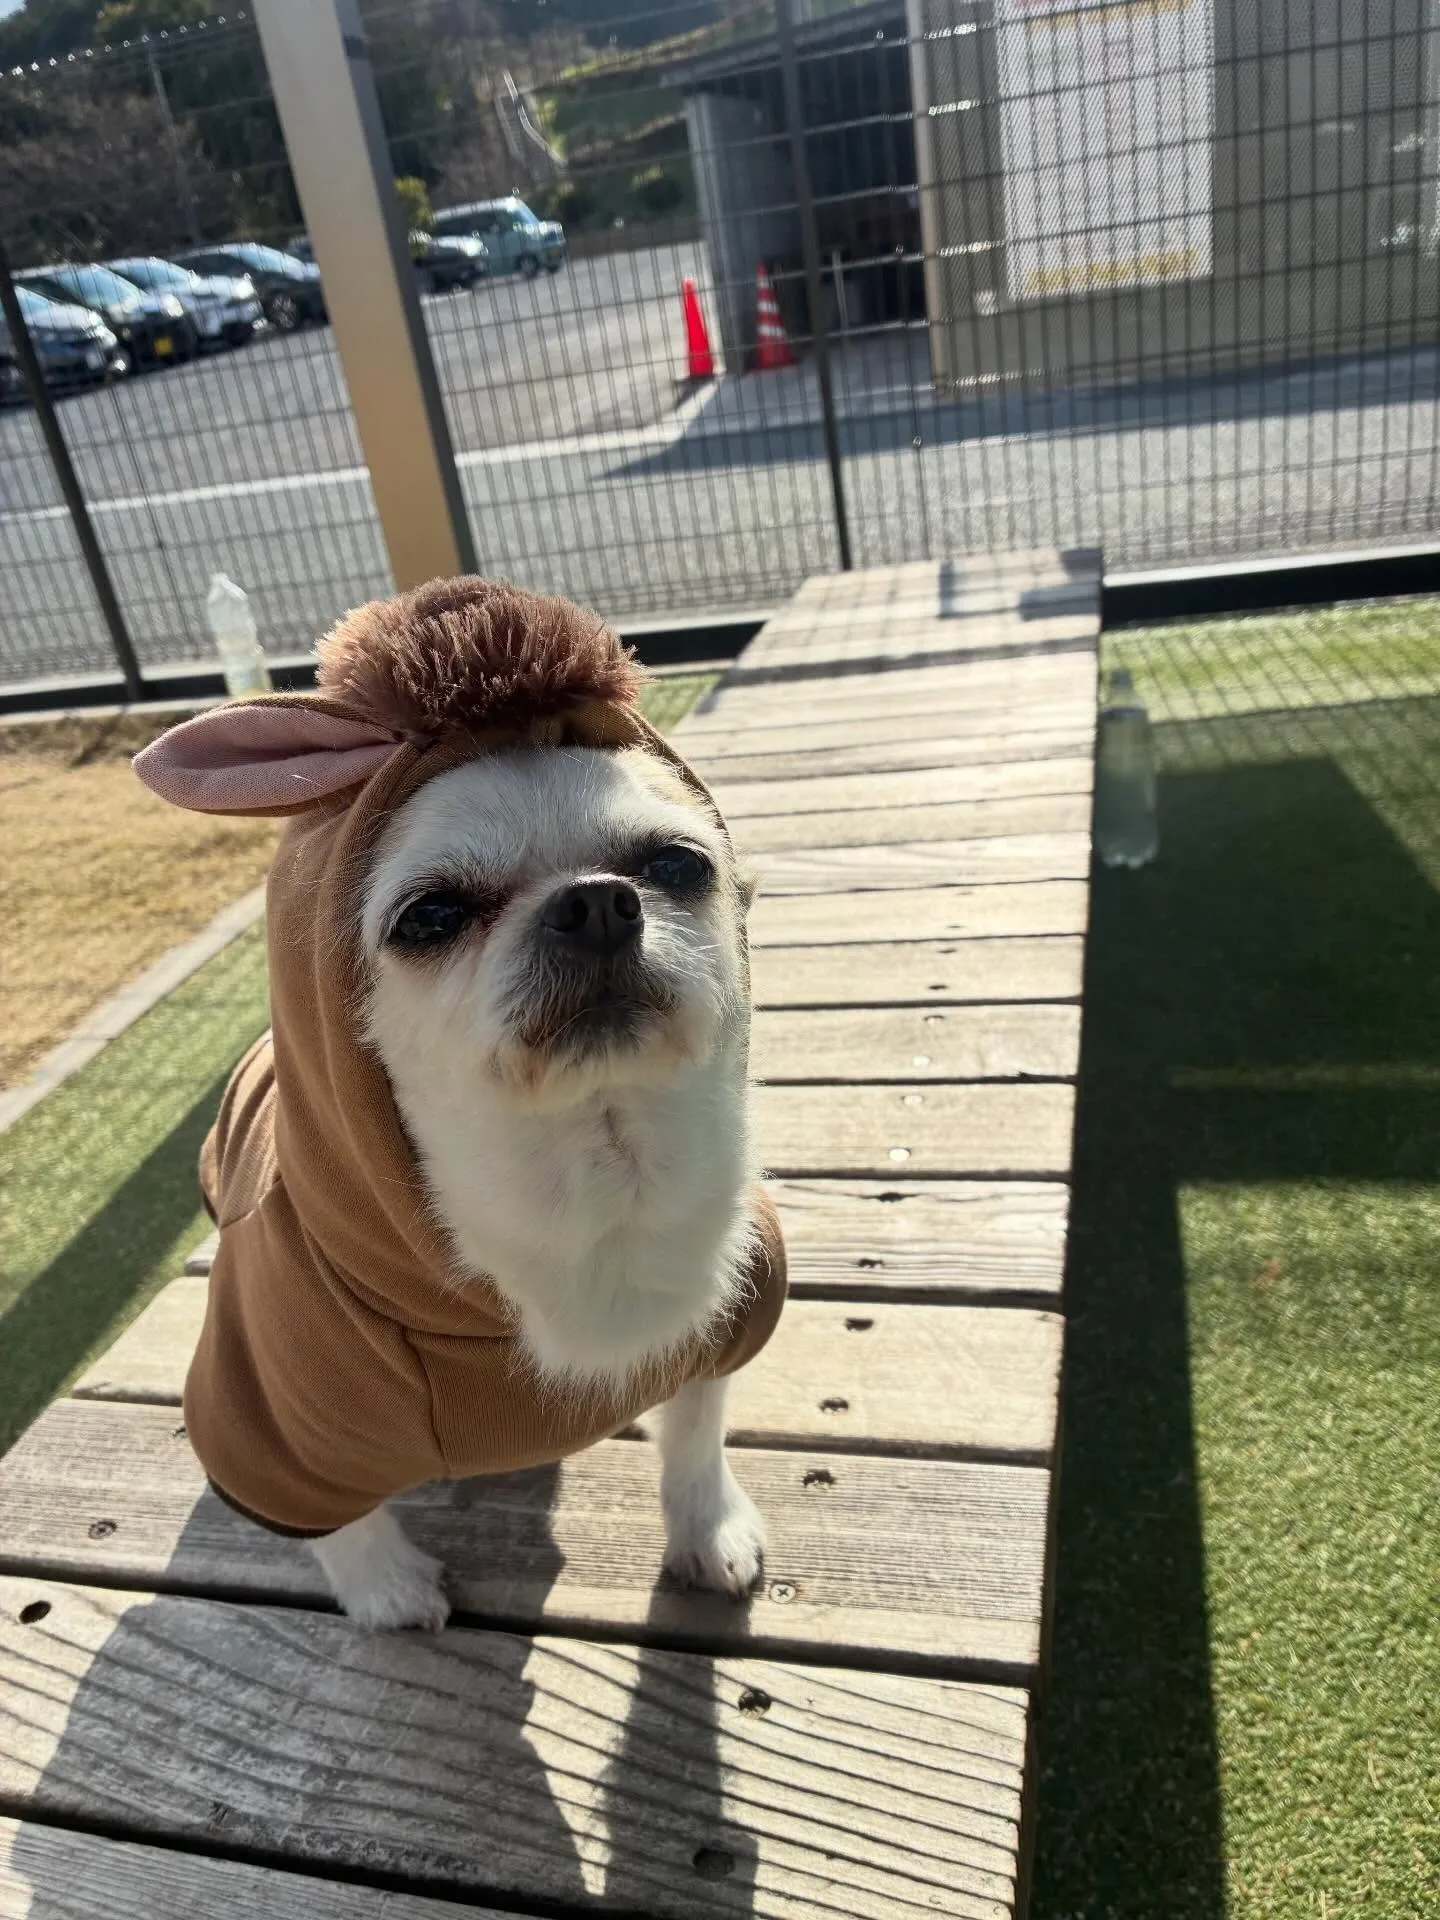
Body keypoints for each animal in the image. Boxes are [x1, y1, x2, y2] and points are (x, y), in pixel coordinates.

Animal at [134, 578, 787, 1630]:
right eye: (431, 915)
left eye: (678, 865)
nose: (595, 900)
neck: (594, 1180)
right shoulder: (271, 1428)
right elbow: (337, 1520)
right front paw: (386, 1588)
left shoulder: (719, 1326)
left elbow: (695, 1436)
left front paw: (707, 1531)